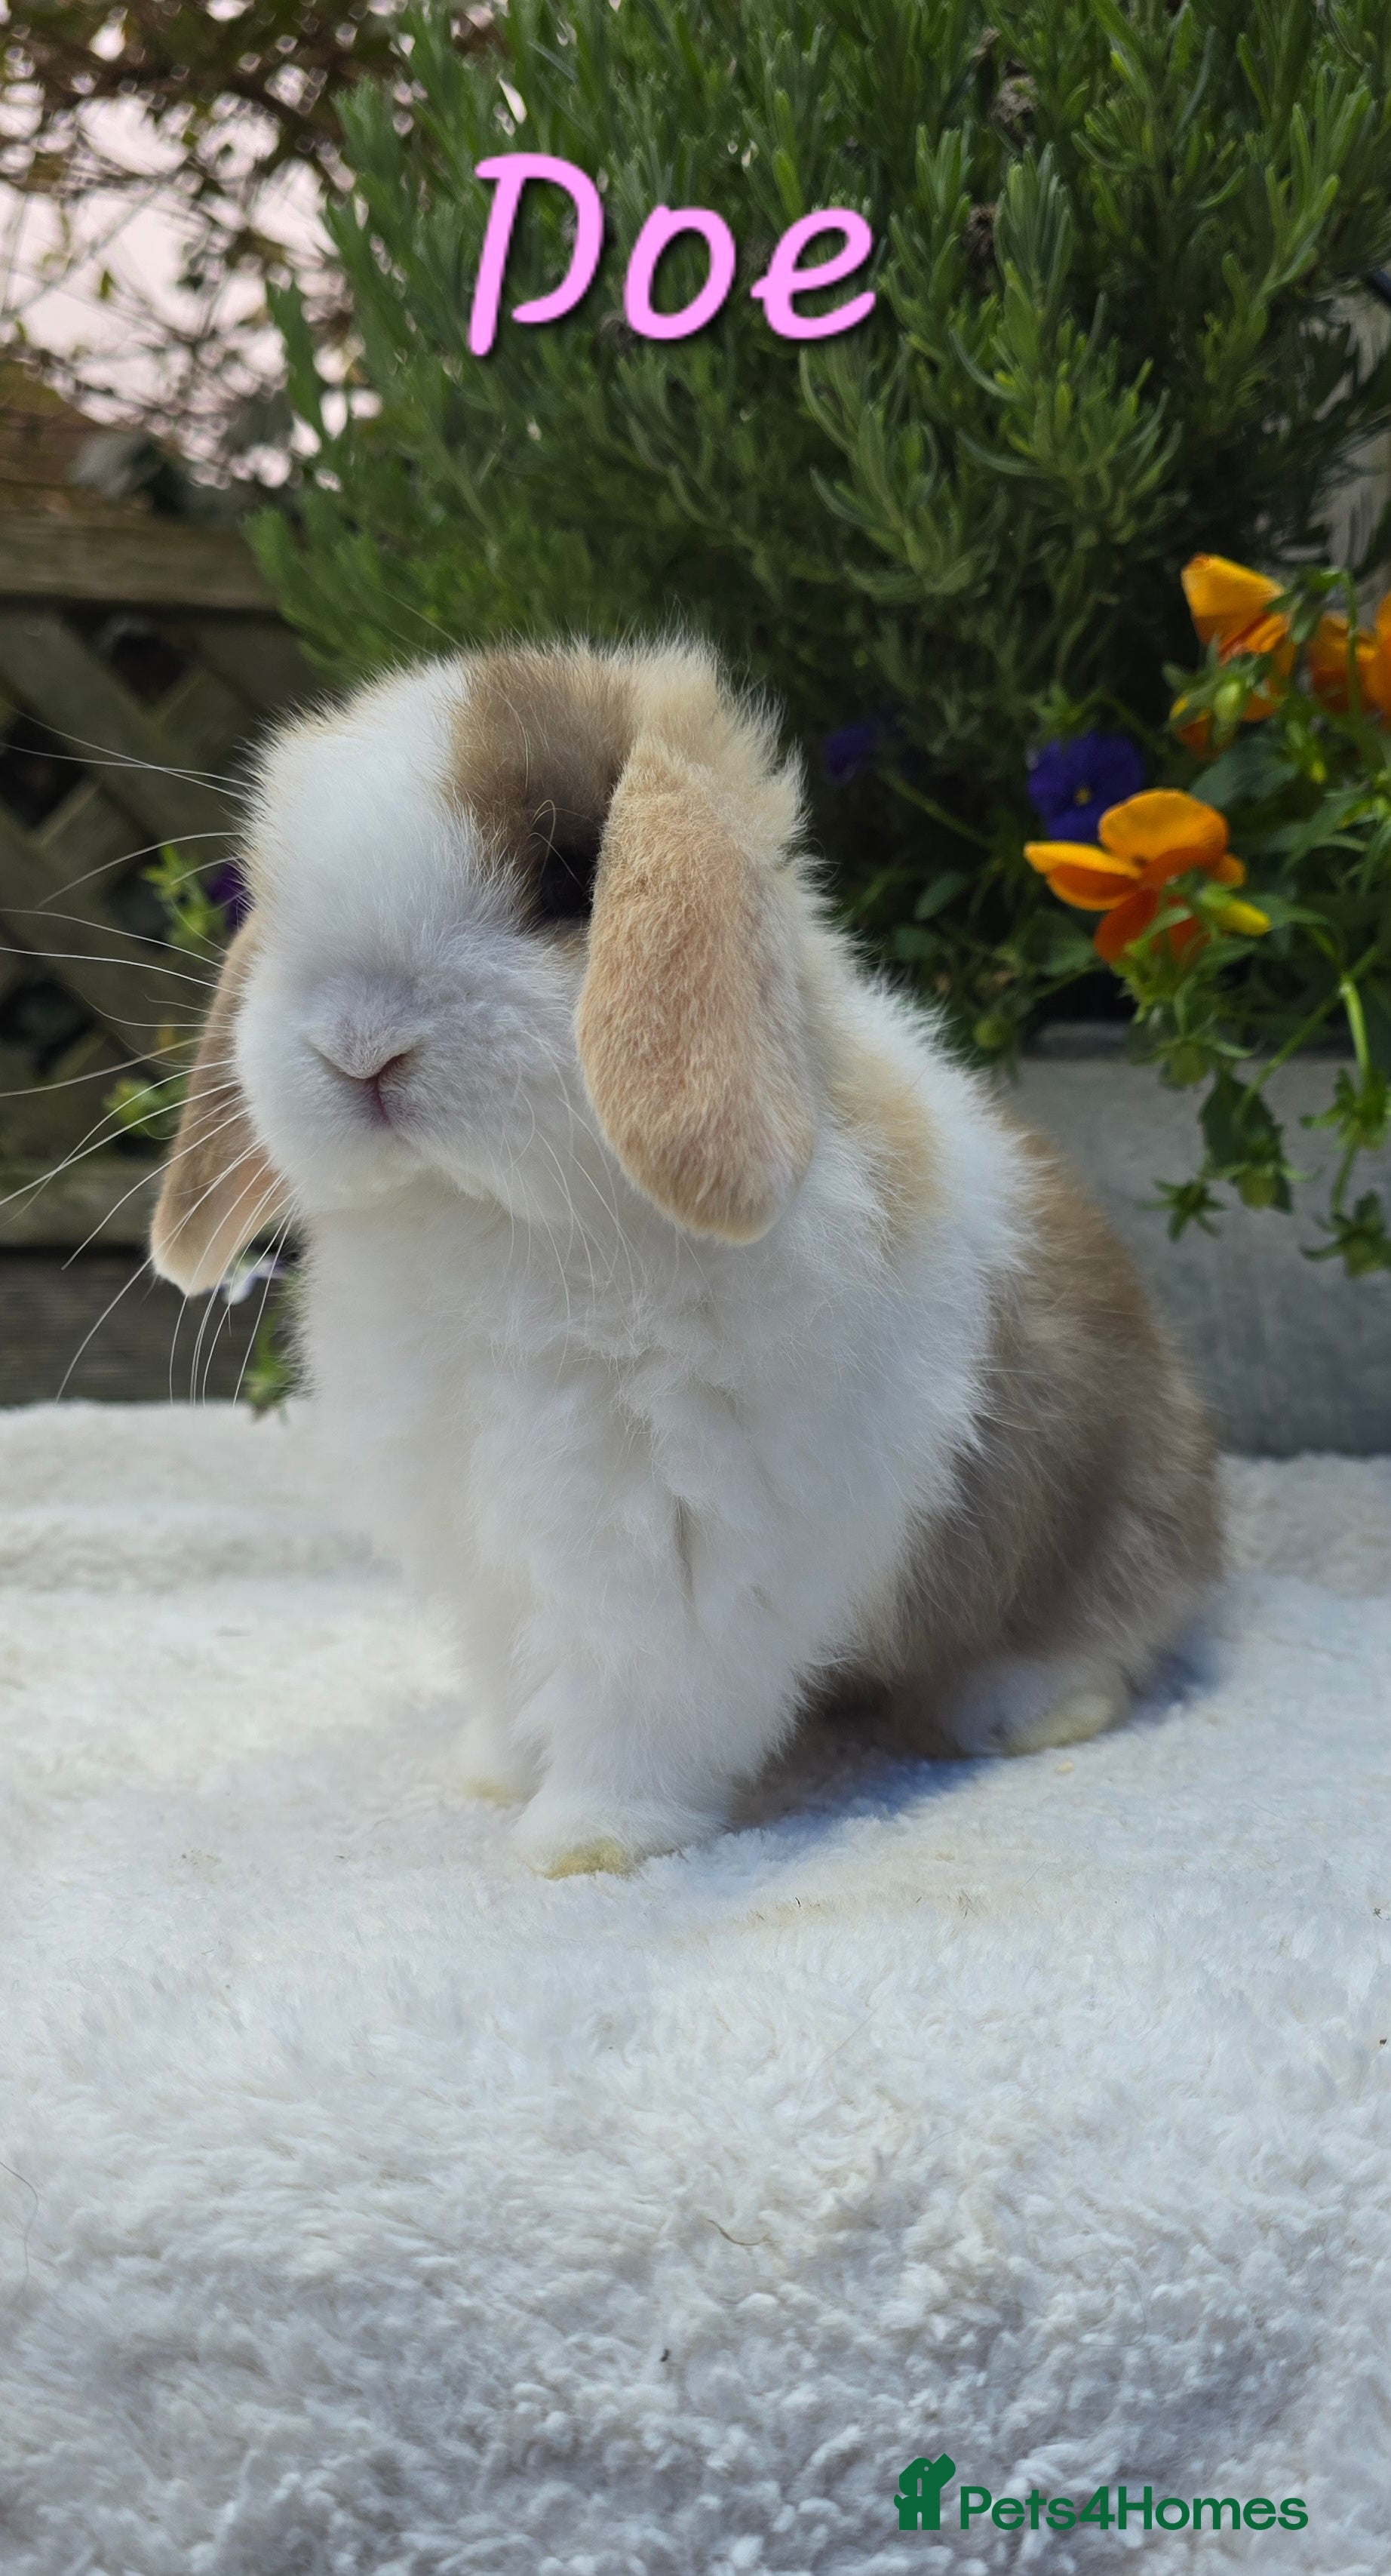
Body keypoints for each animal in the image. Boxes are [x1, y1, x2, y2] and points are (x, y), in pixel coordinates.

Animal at [151, 639, 1220, 1875]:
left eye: (570, 877)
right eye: (275, 901)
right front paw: (489, 1772)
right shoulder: (490, 1561)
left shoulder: (678, 1568)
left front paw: (582, 1843)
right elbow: (514, 1680)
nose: (358, 1046)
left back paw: (1013, 1712)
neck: (500, 1229)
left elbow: (636, 1713)